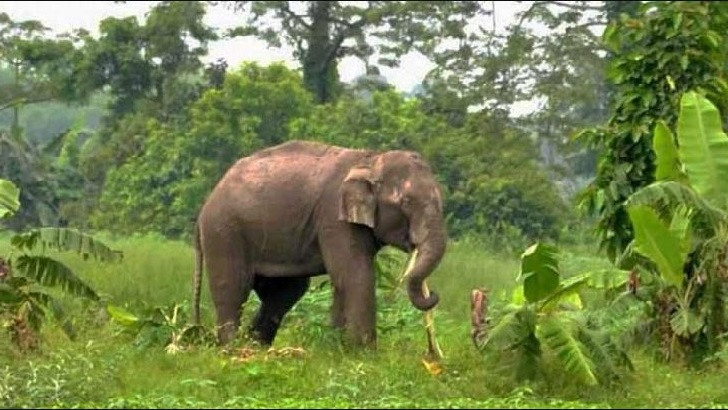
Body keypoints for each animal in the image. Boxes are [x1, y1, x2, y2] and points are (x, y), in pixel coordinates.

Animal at [191, 139, 446, 348]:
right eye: (407, 202)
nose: (433, 294)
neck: (371, 159)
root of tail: (206, 204)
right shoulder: (334, 218)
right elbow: (354, 275)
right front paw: (364, 354)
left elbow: (342, 279)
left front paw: (339, 349)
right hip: (224, 231)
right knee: (233, 287)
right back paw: (232, 348)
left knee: (286, 292)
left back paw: (255, 347)